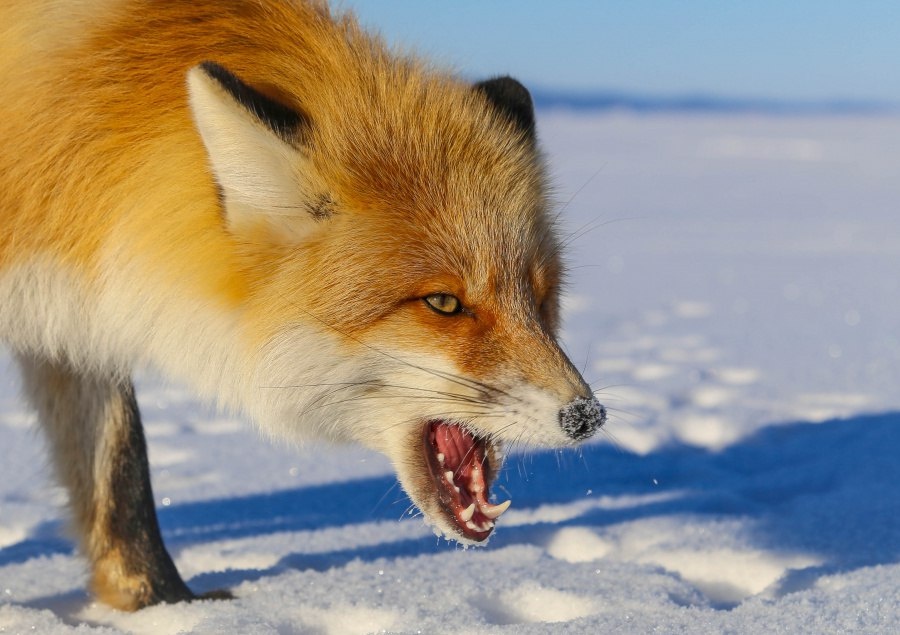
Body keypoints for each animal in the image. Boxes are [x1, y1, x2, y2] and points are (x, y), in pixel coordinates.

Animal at [0, 0, 606, 612]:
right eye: (443, 303)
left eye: (541, 298)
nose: (587, 417)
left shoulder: (69, 319)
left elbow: (120, 471)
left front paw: (160, 604)